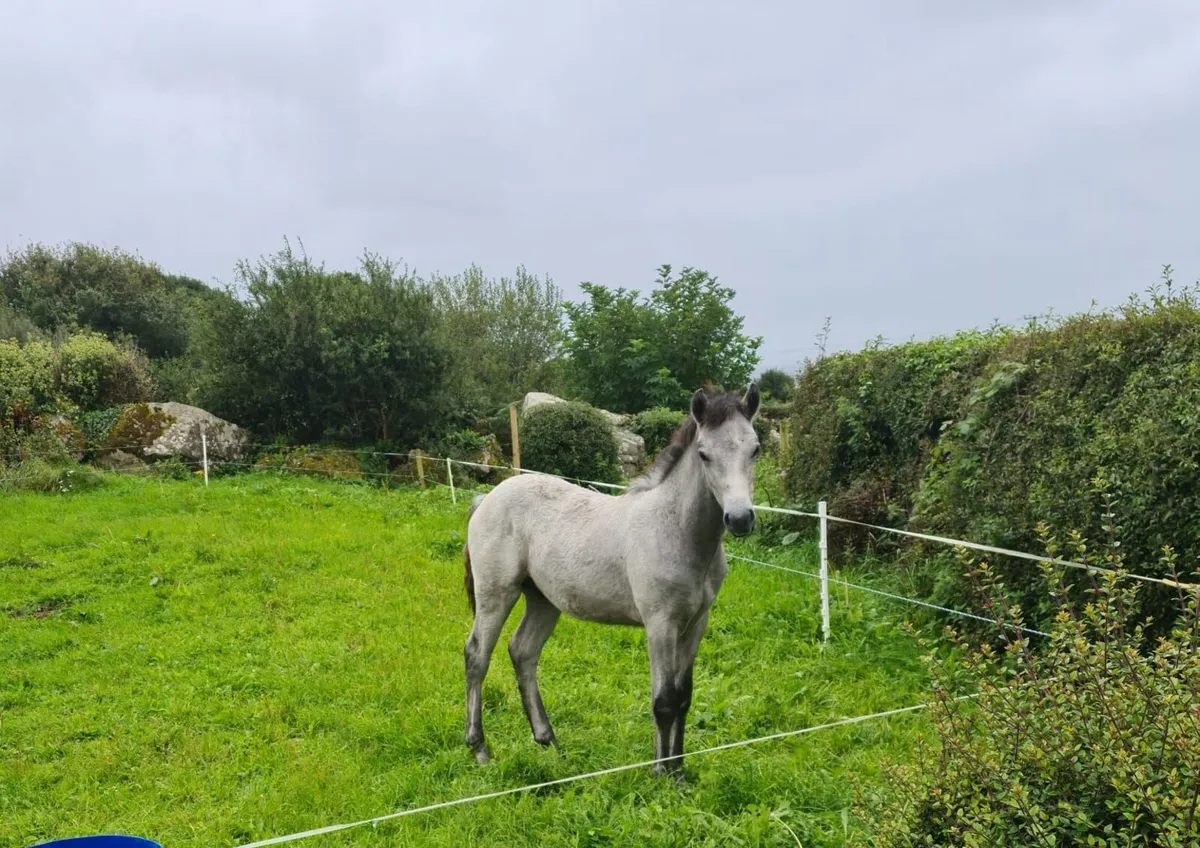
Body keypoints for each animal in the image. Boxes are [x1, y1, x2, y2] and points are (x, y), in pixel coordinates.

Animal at [461, 383, 761, 780]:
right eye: (704, 454)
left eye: (755, 449)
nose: (740, 519)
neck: (676, 530)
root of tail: (486, 498)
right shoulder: (660, 624)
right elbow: (664, 700)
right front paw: (661, 775)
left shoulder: (696, 623)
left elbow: (683, 696)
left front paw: (678, 771)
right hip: (496, 594)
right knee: (477, 656)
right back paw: (480, 749)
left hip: (543, 600)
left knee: (523, 652)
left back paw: (549, 742)